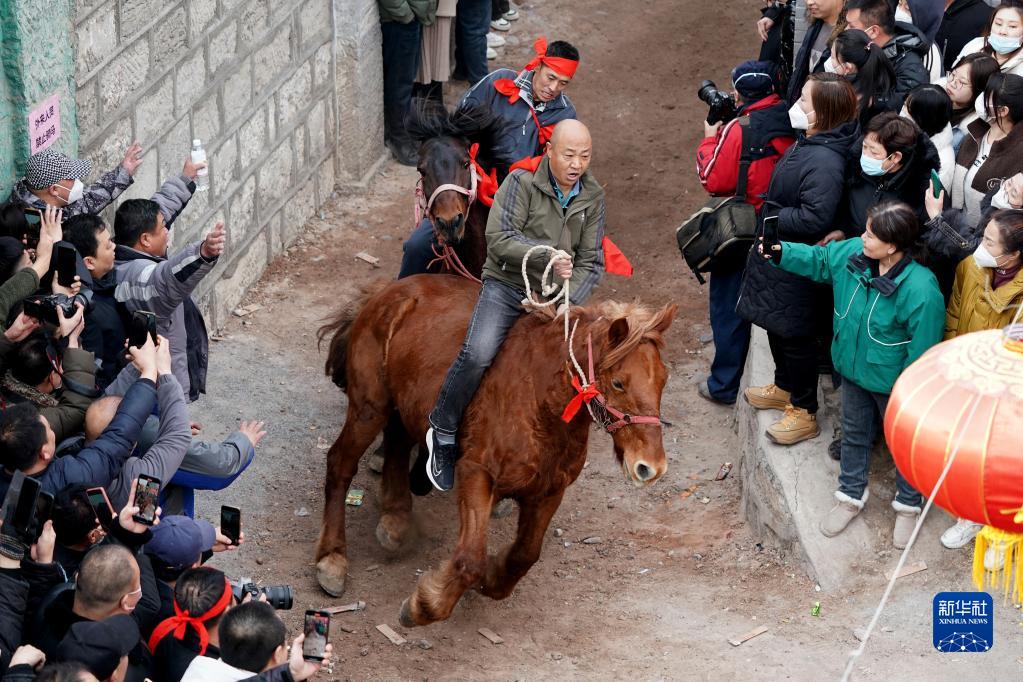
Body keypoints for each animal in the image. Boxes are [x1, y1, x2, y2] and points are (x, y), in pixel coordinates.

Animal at [315, 274, 675, 625]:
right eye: (618, 383)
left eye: (663, 380)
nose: (651, 467)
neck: (539, 402)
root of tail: (387, 291)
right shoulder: (477, 474)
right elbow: (469, 560)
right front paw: (422, 606)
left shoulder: (549, 490)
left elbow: (524, 556)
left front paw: (492, 576)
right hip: (369, 408)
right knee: (340, 463)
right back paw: (332, 558)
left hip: (402, 405)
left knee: (397, 443)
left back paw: (395, 519)